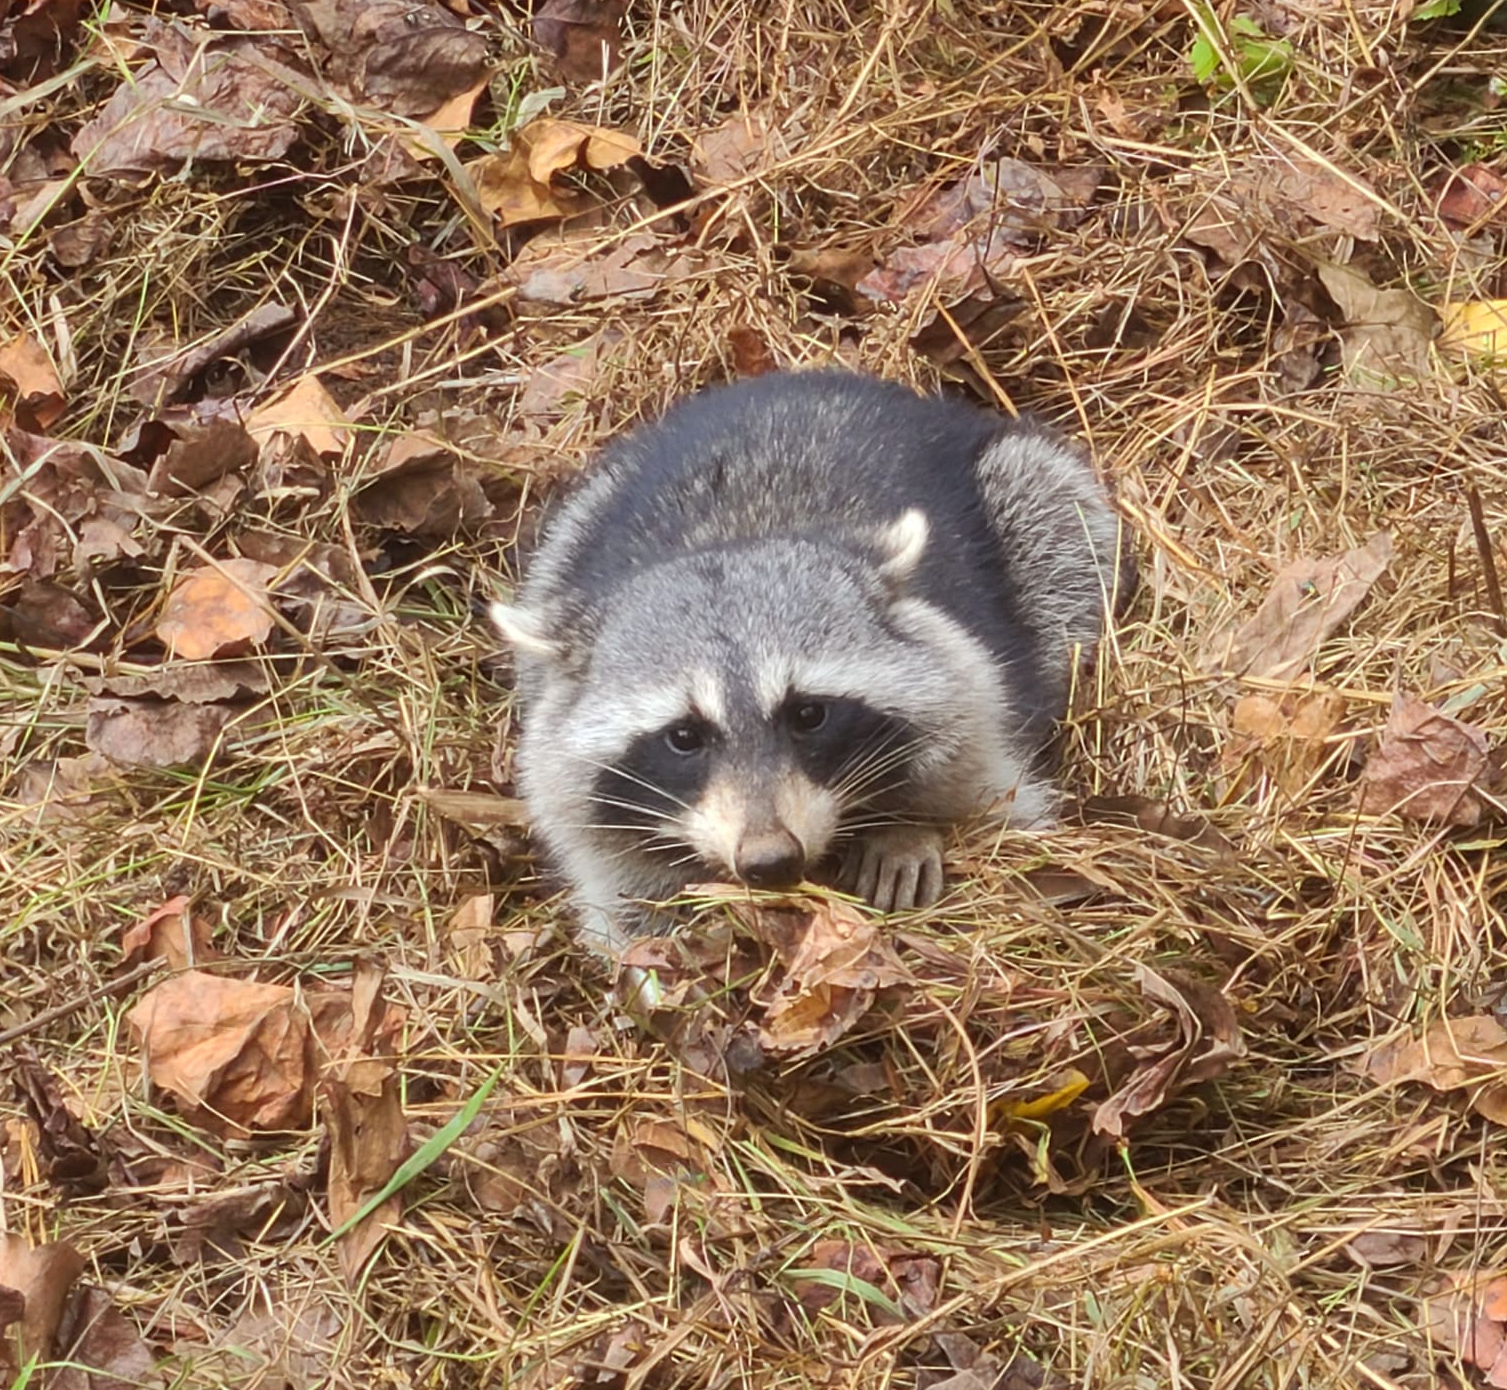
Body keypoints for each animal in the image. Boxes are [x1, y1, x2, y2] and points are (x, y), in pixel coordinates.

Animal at [494, 367, 1133, 952]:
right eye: (683, 736)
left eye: (808, 714)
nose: (770, 861)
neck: (733, 540)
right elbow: (625, 899)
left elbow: (994, 795)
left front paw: (907, 828)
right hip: (575, 526)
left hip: (1025, 494)